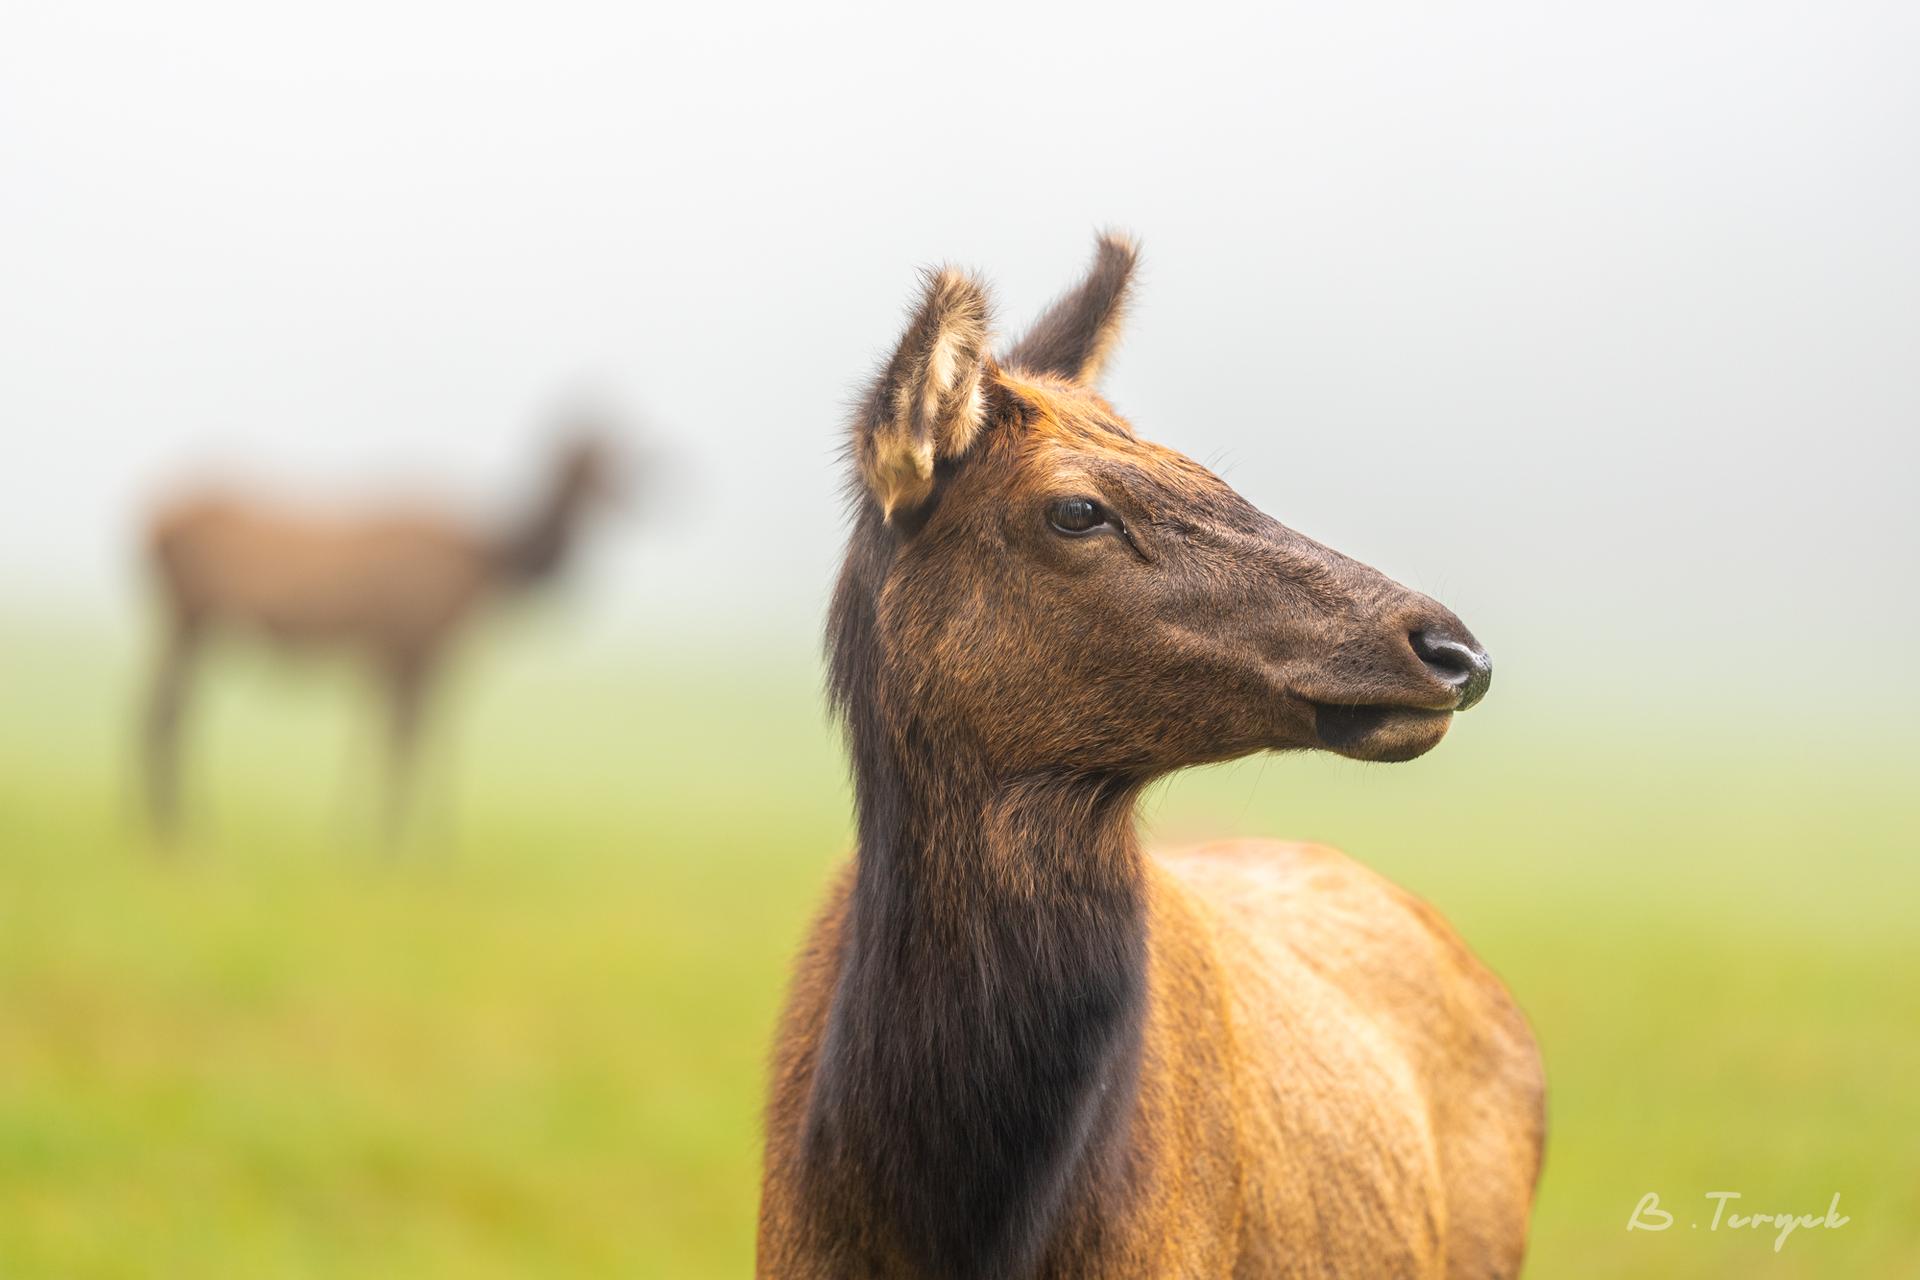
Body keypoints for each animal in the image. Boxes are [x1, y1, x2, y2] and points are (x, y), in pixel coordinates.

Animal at [141, 432, 620, 841]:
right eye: (588, 455)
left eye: (616, 448)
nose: (630, 491)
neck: (487, 558)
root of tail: (155, 521)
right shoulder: (411, 651)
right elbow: (404, 740)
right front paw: (391, 838)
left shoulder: (403, 656)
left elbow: (405, 738)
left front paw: (394, 837)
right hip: (189, 620)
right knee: (167, 710)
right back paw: (182, 828)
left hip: (192, 625)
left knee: (166, 709)